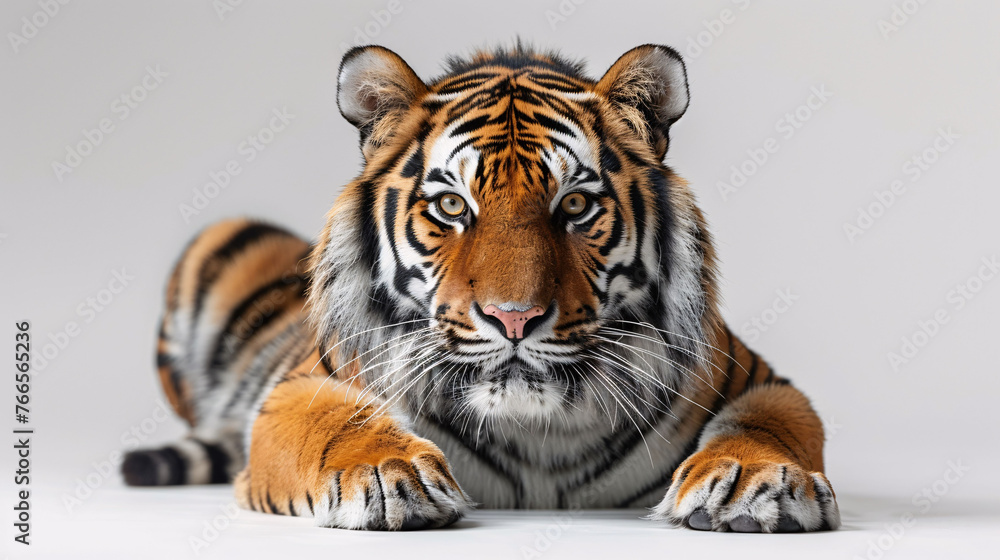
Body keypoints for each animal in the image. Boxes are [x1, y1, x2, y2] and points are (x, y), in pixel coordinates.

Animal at [122, 43, 841, 533]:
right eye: (451, 206)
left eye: (575, 205)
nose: (513, 318)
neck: (540, 434)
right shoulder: (303, 386)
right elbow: (335, 420)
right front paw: (386, 476)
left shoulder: (759, 378)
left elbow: (767, 423)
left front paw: (754, 482)